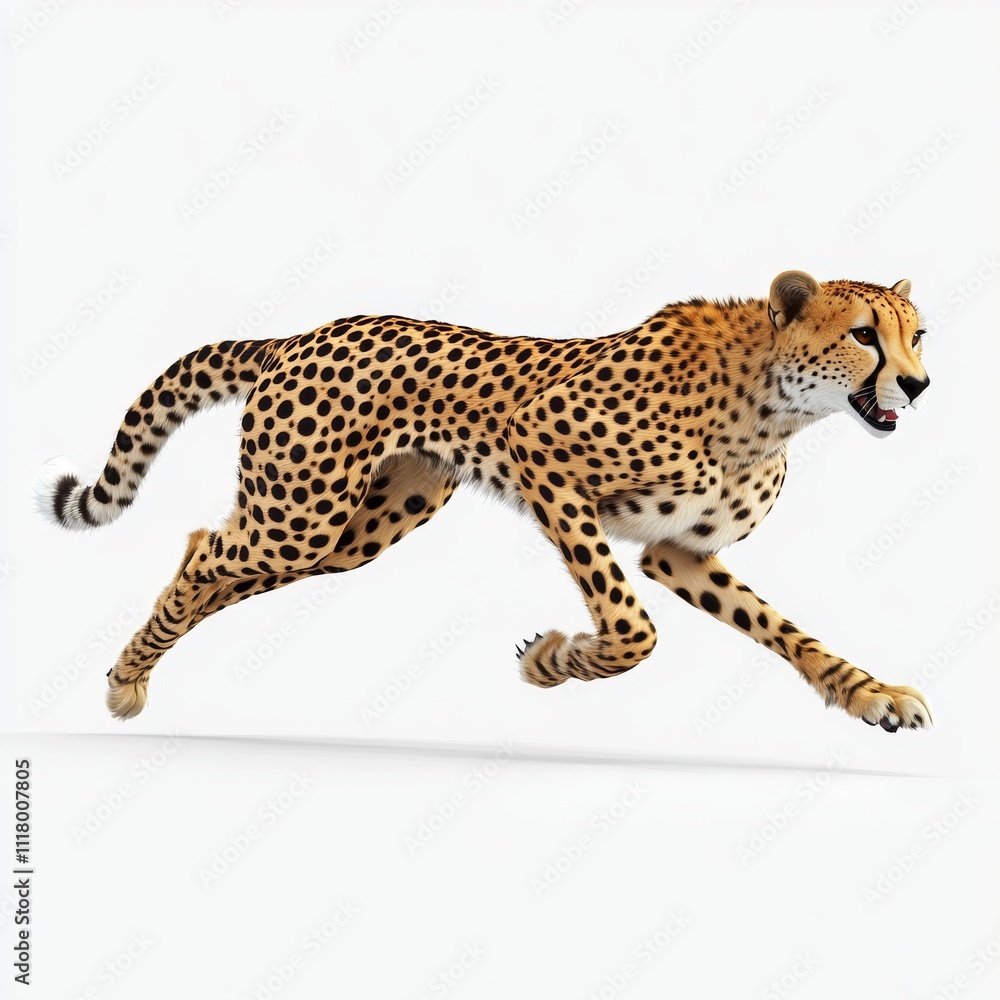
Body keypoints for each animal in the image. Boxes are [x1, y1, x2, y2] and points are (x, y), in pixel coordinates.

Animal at [34, 269, 932, 731]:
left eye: (916, 334)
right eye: (863, 334)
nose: (920, 385)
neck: (772, 406)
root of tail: (303, 334)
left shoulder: (678, 551)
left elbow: (782, 629)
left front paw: (869, 693)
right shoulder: (542, 454)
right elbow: (632, 628)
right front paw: (557, 659)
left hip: (349, 531)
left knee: (215, 563)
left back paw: (127, 673)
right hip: (299, 515)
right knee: (204, 550)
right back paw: (126, 676)